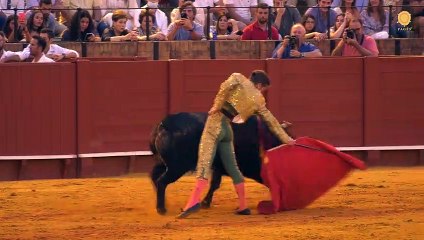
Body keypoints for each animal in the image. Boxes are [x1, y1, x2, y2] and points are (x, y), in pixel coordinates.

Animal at [147, 111, 294, 215]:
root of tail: (164, 124)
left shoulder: (218, 167)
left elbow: (214, 184)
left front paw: (205, 203)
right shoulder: (243, 165)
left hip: (164, 163)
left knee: (154, 176)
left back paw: (163, 203)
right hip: (177, 167)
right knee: (161, 181)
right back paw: (161, 209)